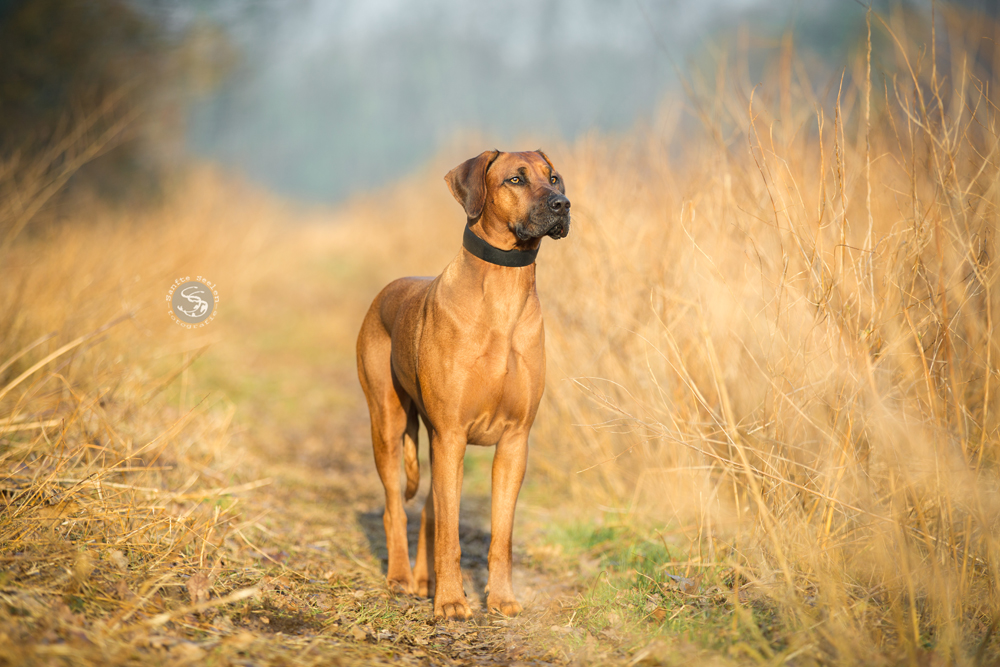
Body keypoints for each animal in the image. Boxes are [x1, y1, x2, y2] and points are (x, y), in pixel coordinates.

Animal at [358, 151, 572, 620]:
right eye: (515, 180)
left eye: (554, 179)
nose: (563, 205)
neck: (504, 295)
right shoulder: (452, 434)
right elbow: (450, 535)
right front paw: (453, 601)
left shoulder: (514, 441)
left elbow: (500, 536)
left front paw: (502, 597)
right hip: (388, 424)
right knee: (396, 509)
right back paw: (400, 578)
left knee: (429, 513)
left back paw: (424, 581)